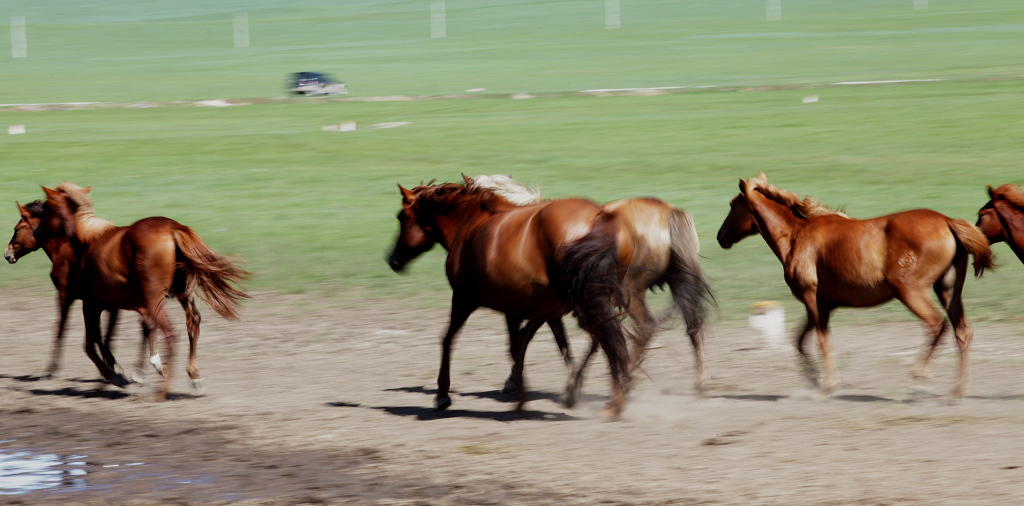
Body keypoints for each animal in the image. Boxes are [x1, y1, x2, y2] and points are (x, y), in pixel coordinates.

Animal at [38, 182, 250, 399]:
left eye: (45, 209)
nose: (37, 232)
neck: (87, 238)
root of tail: (173, 228)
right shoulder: (113, 304)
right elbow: (110, 338)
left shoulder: (91, 302)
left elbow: (91, 344)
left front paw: (119, 375)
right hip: (180, 293)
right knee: (193, 322)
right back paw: (194, 377)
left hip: (153, 298)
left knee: (170, 333)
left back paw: (161, 390)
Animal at [387, 177, 634, 415]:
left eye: (400, 217)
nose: (392, 260)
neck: (472, 223)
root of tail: (599, 217)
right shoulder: (541, 310)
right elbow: (550, 343)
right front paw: (558, 389)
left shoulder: (465, 299)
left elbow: (451, 340)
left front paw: (442, 396)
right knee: (605, 339)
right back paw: (607, 400)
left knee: (605, 339)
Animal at [466, 176, 712, 401]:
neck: (528, 228)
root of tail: (669, 212)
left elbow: (524, 337)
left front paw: (514, 380)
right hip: (674, 285)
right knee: (693, 328)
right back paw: (698, 383)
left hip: (629, 293)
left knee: (644, 329)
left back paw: (623, 380)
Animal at [716, 174, 987, 399]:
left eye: (732, 205)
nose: (720, 237)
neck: (797, 235)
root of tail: (947, 221)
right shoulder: (822, 304)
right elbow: (800, 341)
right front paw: (815, 381)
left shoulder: (811, 298)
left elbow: (821, 341)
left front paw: (827, 385)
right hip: (947, 290)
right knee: (962, 332)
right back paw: (956, 391)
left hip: (910, 291)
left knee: (936, 325)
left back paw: (919, 379)